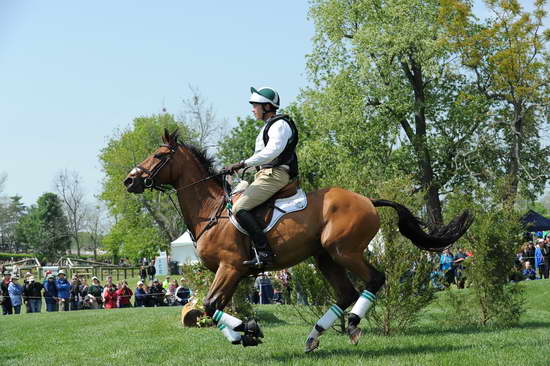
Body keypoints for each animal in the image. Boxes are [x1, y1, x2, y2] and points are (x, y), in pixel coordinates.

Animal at [124, 129, 474, 352]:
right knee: (345, 293)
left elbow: (210, 305)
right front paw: (244, 334)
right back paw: (313, 336)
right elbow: (214, 306)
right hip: (324, 256)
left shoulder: (231, 266)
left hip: (344, 250)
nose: (129, 180)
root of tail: (367, 200)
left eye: (158, 155)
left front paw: (247, 332)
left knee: (374, 279)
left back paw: (352, 324)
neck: (211, 211)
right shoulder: (233, 272)